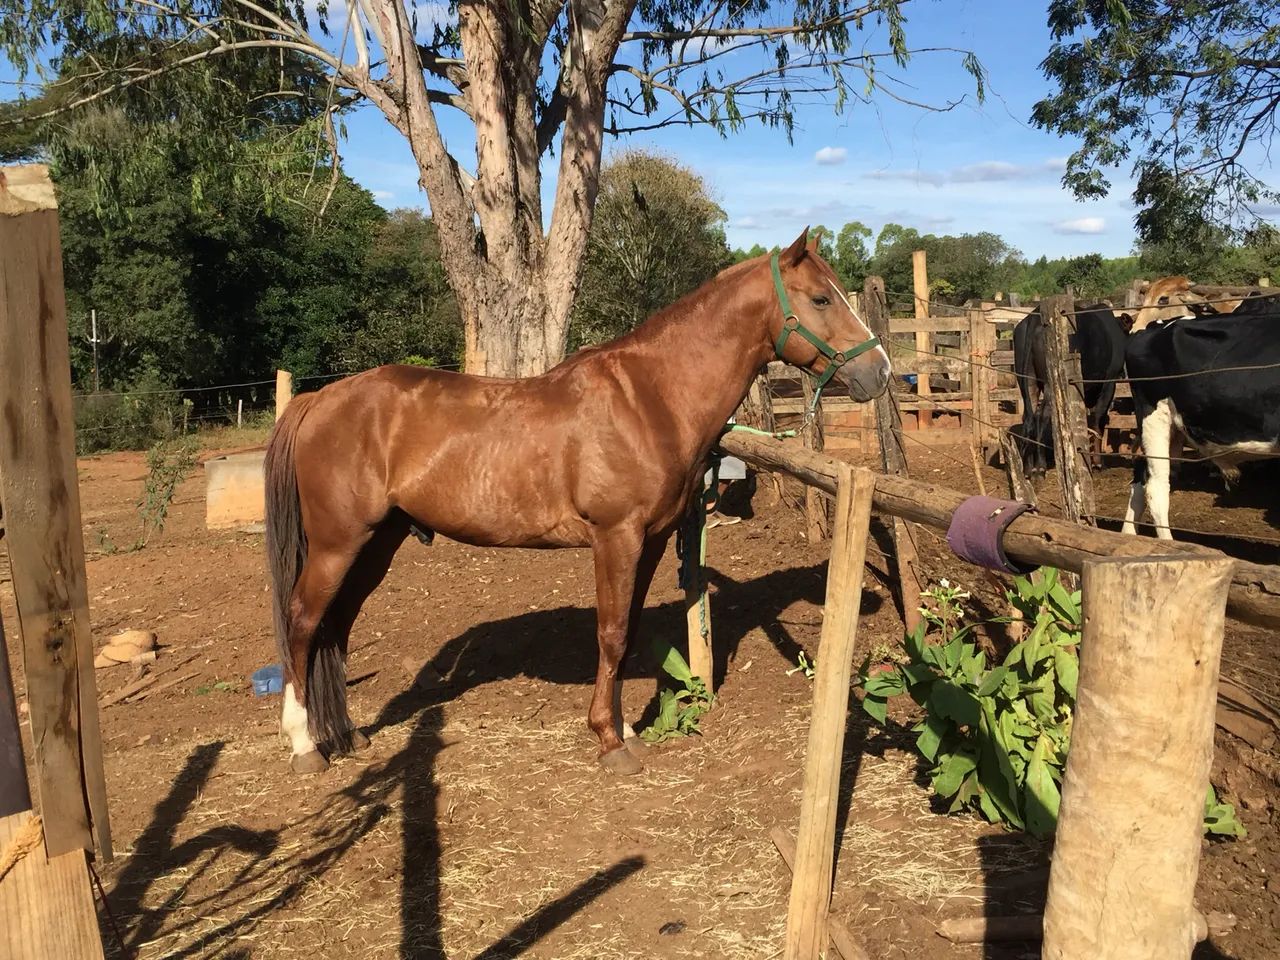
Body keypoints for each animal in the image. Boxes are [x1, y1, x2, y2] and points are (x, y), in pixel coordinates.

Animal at [264, 227, 892, 777]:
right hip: (337, 544)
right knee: (303, 621)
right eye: (820, 298)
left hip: (377, 543)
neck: (651, 397)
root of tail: (320, 399)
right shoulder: (616, 537)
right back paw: (304, 745)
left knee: (336, 625)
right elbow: (610, 633)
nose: (880, 372)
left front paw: (625, 728)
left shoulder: (651, 540)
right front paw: (610, 742)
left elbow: (628, 632)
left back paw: (346, 734)